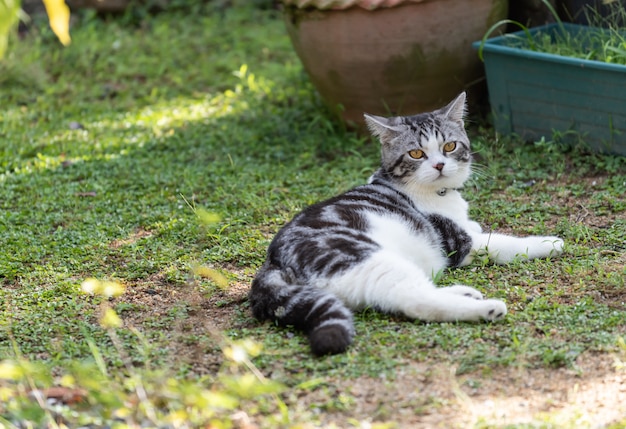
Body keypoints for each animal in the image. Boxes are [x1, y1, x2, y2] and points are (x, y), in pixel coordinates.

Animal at [246, 93, 564, 354]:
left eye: (450, 146)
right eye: (416, 153)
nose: (439, 165)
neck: (435, 194)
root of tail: (272, 263)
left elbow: (477, 227)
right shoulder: (457, 242)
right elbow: (503, 243)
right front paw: (547, 242)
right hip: (367, 258)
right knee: (415, 300)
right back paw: (485, 308)